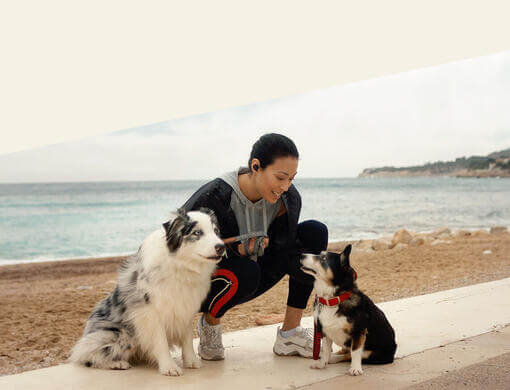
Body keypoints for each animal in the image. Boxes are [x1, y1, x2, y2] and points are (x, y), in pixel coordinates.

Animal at [68, 209, 224, 376]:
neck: (180, 265)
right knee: (87, 356)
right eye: (197, 232)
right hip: (118, 334)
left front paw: (191, 361)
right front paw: (169, 367)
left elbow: (187, 338)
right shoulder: (150, 312)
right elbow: (161, 341)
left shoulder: (186, 307)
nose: (221, 247)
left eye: (216, 231)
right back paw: (116, 363)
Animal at [300, 245, 396, 376]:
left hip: (372, 353)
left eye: (323, 258)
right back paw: (331, 358)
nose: (301, 255)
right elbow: (325, 350)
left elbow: (354, 352)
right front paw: (322, 364)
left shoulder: (358, 332)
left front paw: (355, 369)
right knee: (344, 352)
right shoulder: (324, 331)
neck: (333, 299)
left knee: (350, 355)